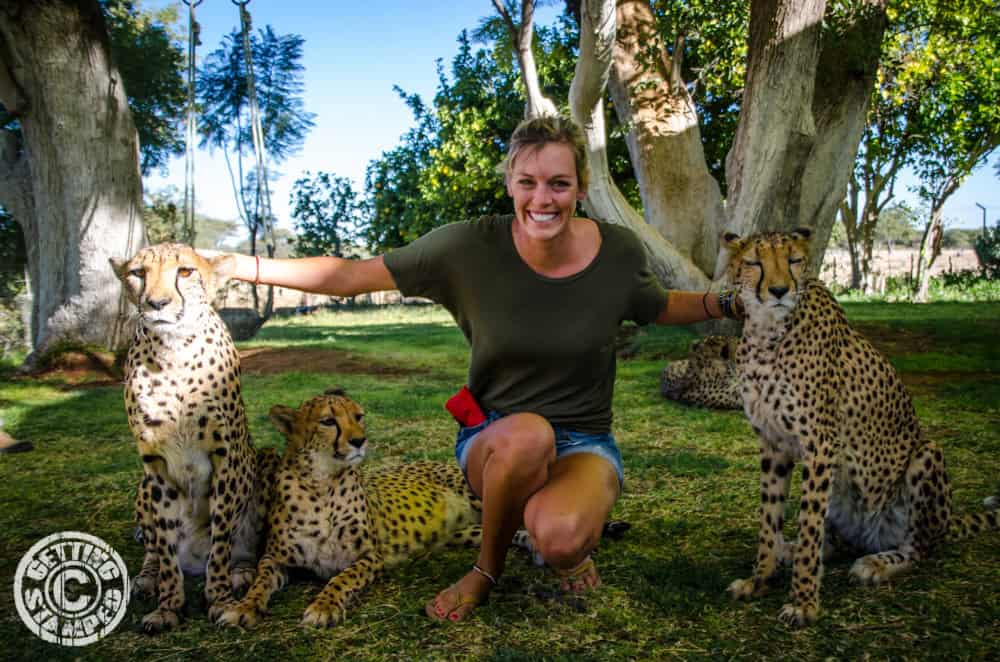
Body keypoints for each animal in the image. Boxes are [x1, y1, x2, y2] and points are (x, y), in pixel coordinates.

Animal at [111, 244, 280, 632]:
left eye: (185, 272)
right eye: (137, 273)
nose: (157, 303)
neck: (174, 350)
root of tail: (193, 562)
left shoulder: (226, 455)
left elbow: (221, 537)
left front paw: (219, 597)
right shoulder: (155, 465)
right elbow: (165, 543)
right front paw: (169, 606)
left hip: (264, 458)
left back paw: (240, 572)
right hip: (142, 485)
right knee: (154, 548)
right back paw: (147, 578)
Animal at [216, 392, 492, 632]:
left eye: (359, 417)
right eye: (328, 421)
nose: (359, 441)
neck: (322, 485)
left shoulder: (371, 556)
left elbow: (343, 578)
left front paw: (323, 606)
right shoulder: (275, 558)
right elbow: (261, 581)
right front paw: (244, 607)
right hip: (463, 534)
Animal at [724, 228, 996, 628]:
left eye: (793, 260)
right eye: (754, 262)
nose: (779, 290)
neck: (766, 330)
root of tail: (947, 523)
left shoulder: (820, 445)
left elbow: (809, 524)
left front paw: (803, 602)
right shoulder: (772, 443)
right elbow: (770, 519)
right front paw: (761, 578)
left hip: (926, 456)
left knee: (918, 548)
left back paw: (878, 563)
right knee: (839, 541)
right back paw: (794, 549)